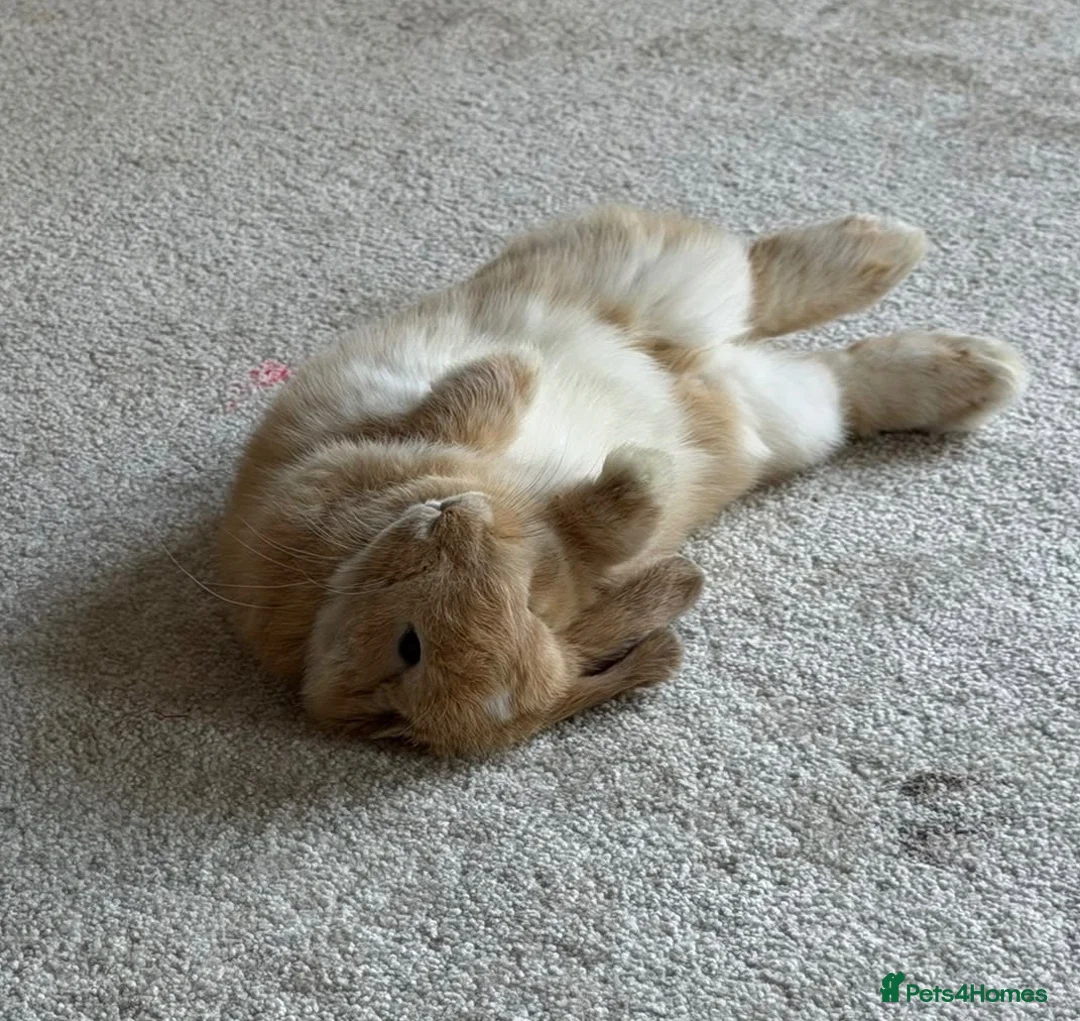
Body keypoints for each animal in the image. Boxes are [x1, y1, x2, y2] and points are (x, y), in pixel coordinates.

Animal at [218, 206, 1028, 756]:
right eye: (412, 647)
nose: (458, 516)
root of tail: (695, 365)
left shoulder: (409, 446)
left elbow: (491, 411)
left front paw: (562, 405)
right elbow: (596, 512)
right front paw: (645, 469)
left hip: (636, 273)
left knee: (758, 276)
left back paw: (898, 256)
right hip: (771, 403)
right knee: (831, 369)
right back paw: (968, 364)